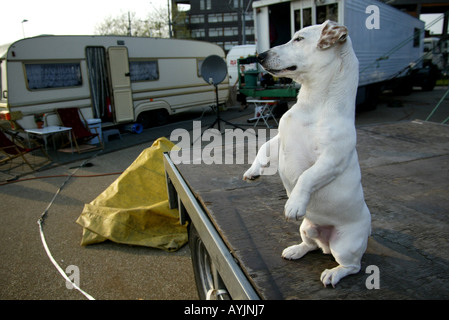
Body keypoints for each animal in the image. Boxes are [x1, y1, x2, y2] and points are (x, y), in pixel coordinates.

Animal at [243, 21, 370, 288]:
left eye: (299, 39)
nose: (260, 56)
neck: (313, 106)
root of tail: (327, 242)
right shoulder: (281, 139)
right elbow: (263, 148)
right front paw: (253, 171)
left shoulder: (331, 159)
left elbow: (307, 177)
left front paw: (294, 203)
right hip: (307, 228)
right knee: (311, 245)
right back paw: (296, 250)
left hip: (345, 245)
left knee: (353, 266)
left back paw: (334, 273)